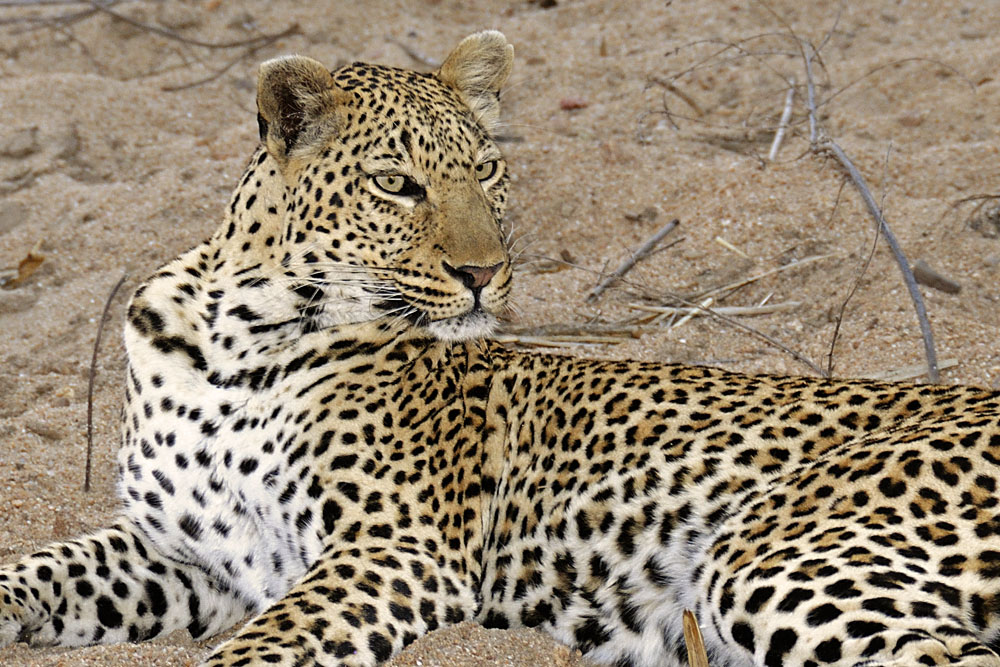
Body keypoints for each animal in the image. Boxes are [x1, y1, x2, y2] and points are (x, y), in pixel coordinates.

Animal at [3, 29, 1000, 667]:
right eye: (397, 184)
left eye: (486, 170)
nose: (485, 272)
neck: (237, 337)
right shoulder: (188, 552)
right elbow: (38, 565)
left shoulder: (396, 548)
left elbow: (260, 648)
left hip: (773, 554)